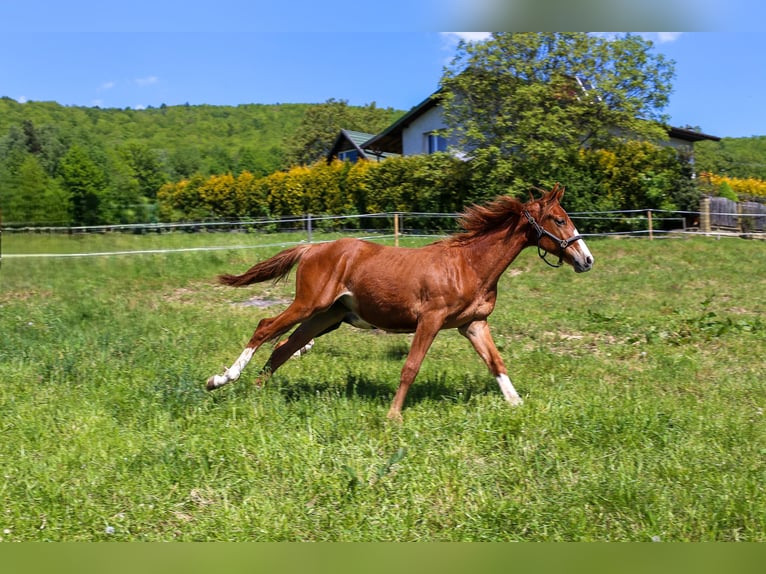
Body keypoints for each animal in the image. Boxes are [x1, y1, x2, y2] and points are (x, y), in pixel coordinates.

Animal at [204, 187, 592, 420]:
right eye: (559, 219)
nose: (586, 260)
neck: (469, 264)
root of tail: (313, 247)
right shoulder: (430, 320)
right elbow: (411, 367)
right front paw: (393, 416)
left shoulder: (473, 324)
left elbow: (496, 362)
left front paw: (516, 403)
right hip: (309, 305)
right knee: (265, 328)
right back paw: (220, 380)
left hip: (327, 317)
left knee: (283, 347)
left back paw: (257, 392)